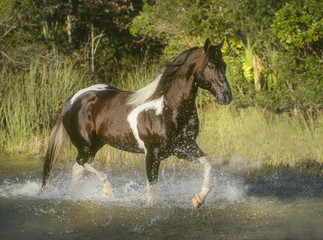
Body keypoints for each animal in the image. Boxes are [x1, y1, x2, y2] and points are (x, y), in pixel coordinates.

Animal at [41, 39, 233, 208]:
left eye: (223, 65)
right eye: (210, 65)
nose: (226, 96)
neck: (168, 108)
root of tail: (71, 100)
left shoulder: (183, 147)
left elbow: (208, 163)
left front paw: (198, 199)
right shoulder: (152, 153)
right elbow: (151, 189)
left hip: (95, 144)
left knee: (78, 168)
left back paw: (77, 197)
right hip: (85, 145)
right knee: (82, 163)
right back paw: (109, 188)